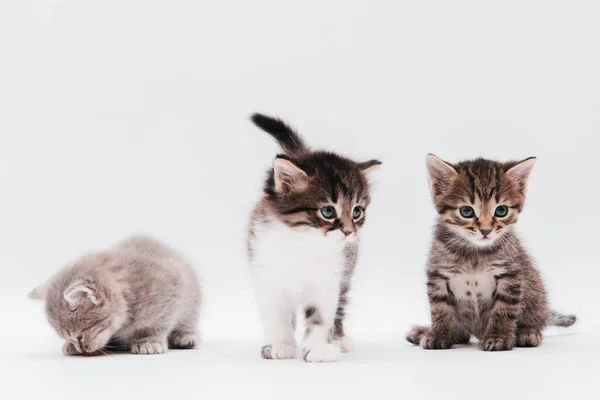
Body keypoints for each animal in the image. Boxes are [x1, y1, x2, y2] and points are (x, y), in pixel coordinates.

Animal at [30, 236, 200, 354]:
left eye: (80, 336)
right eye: (68, 337)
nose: (81, 349)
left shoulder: (170, 293)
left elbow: (157, 324)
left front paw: (148, 341)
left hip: (192, 298)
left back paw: (186, 336)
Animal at [245, 113, 380, 362]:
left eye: (357, 211)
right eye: (327, 211)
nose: (349, 231)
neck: (305, 243)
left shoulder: (328, 281)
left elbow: (320, 317)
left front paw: (318, 348)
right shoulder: (267, 277)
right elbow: (277, 316)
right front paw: (281, 344)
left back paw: (339, 339)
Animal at [408, 155, 576, 352]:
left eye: (501, 210)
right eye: (466, 211)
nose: (486, 230)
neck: (474, 252)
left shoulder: (510, 275)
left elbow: (504, 309)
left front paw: (499, 337)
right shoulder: (438, 275)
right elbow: (439, 309)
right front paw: (439, 335)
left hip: (535, 290)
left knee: (536, 317)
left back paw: (528, 332)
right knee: (462, 334)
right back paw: (425, 332)